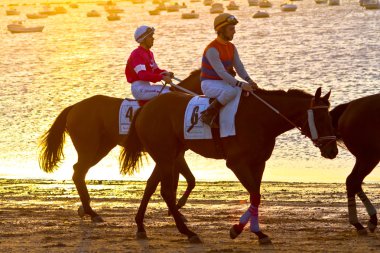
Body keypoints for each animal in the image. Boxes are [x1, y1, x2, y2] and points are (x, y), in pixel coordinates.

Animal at [38, 70, 202, 222]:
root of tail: (74, 107)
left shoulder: (173, 155)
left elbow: (182, 181)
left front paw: (175, 210)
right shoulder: (173, 155)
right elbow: (189, 180)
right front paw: (177, 207)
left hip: (101, 149)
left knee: (78, 171)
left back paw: (86, 209)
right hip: (89, 149)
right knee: (79, 172)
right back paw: (91, 212)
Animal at [120, 86, 336, 243]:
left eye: (330, 116)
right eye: (320, 117)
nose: (333, 150)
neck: (261, 118)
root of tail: (146, 106)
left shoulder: (259, 163)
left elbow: (256, 196)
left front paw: (257, 232)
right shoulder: (237, 163)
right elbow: (255, 195)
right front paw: (238, 229)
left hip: (169, 155)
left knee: (150, 186)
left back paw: (140, 226)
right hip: (165, 156)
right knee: (165, 191)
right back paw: (188, 232)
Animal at [330, 93, 380, 235]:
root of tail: (349, 106)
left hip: (364, 158)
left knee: (353, 181)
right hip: (369, 157)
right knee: (353, 180)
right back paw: (363, 222)